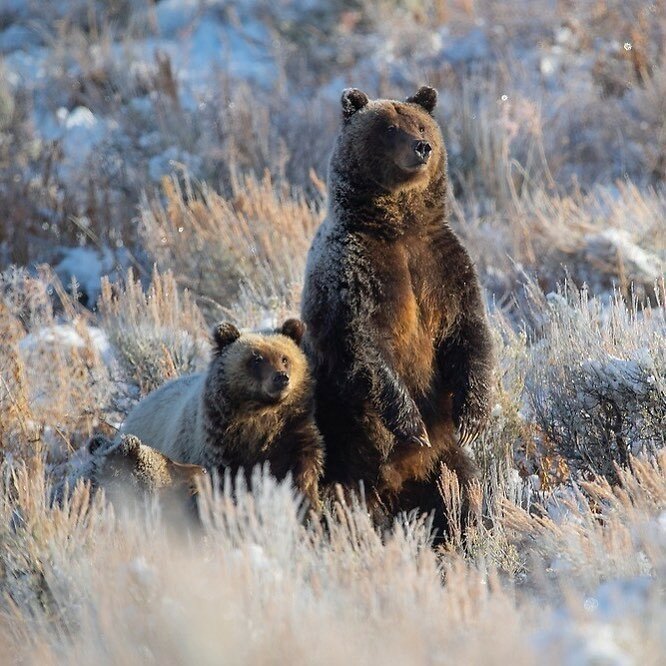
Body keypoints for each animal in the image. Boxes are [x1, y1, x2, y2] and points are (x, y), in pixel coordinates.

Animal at [120, 319, 324, 510]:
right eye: (256, 359)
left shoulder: (292, 434)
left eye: (285, 358)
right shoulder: (219, 446)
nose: (281, 378)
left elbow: (302, 472)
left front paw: (308, 505)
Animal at [300, 86, 495, 536]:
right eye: (389, 128)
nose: (422, 147)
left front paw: (473, 416)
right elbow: (369, 346)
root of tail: (394, 490)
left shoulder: (440, 265)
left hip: (440, 464)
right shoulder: (358, 274)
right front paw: (412, 425)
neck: (398, 227)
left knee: (461, 488)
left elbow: (469, 330)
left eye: (420, 125)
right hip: (344, 452)